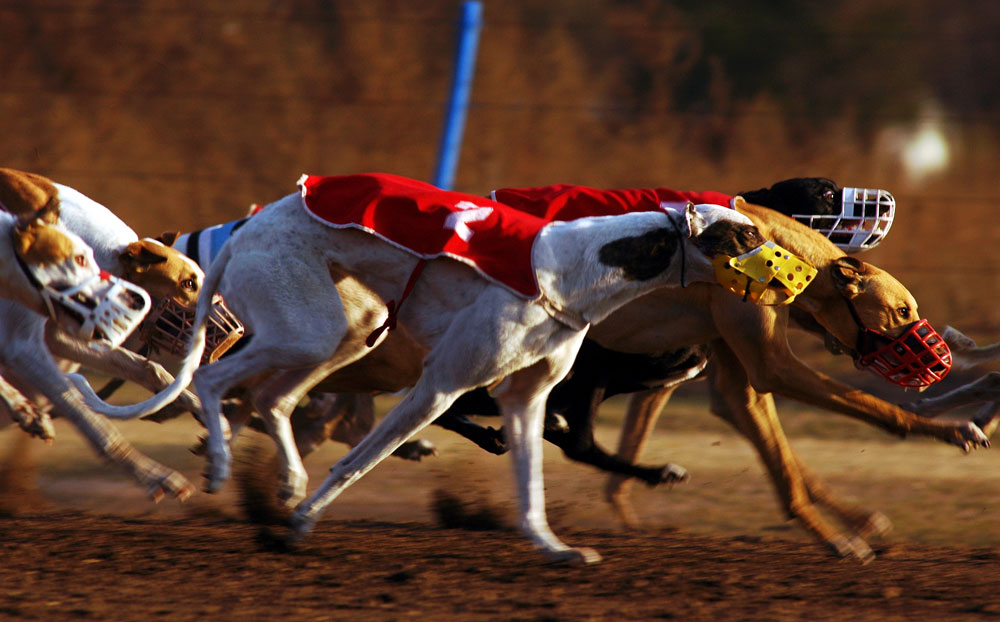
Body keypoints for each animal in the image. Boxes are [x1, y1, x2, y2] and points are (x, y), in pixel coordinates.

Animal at [76, 173, 780, 564]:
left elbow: (530, 488)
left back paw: (288, 481)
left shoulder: (526, 400)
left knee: (272, 400)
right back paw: (227, 469)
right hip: (305, 326)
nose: (789, 276)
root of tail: (245, 227)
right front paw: (302, 526)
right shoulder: (442, 386)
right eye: (746, 236)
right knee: (214, 380)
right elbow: (359, 461)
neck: (577, 268)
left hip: (344, 333)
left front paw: (555, 549)